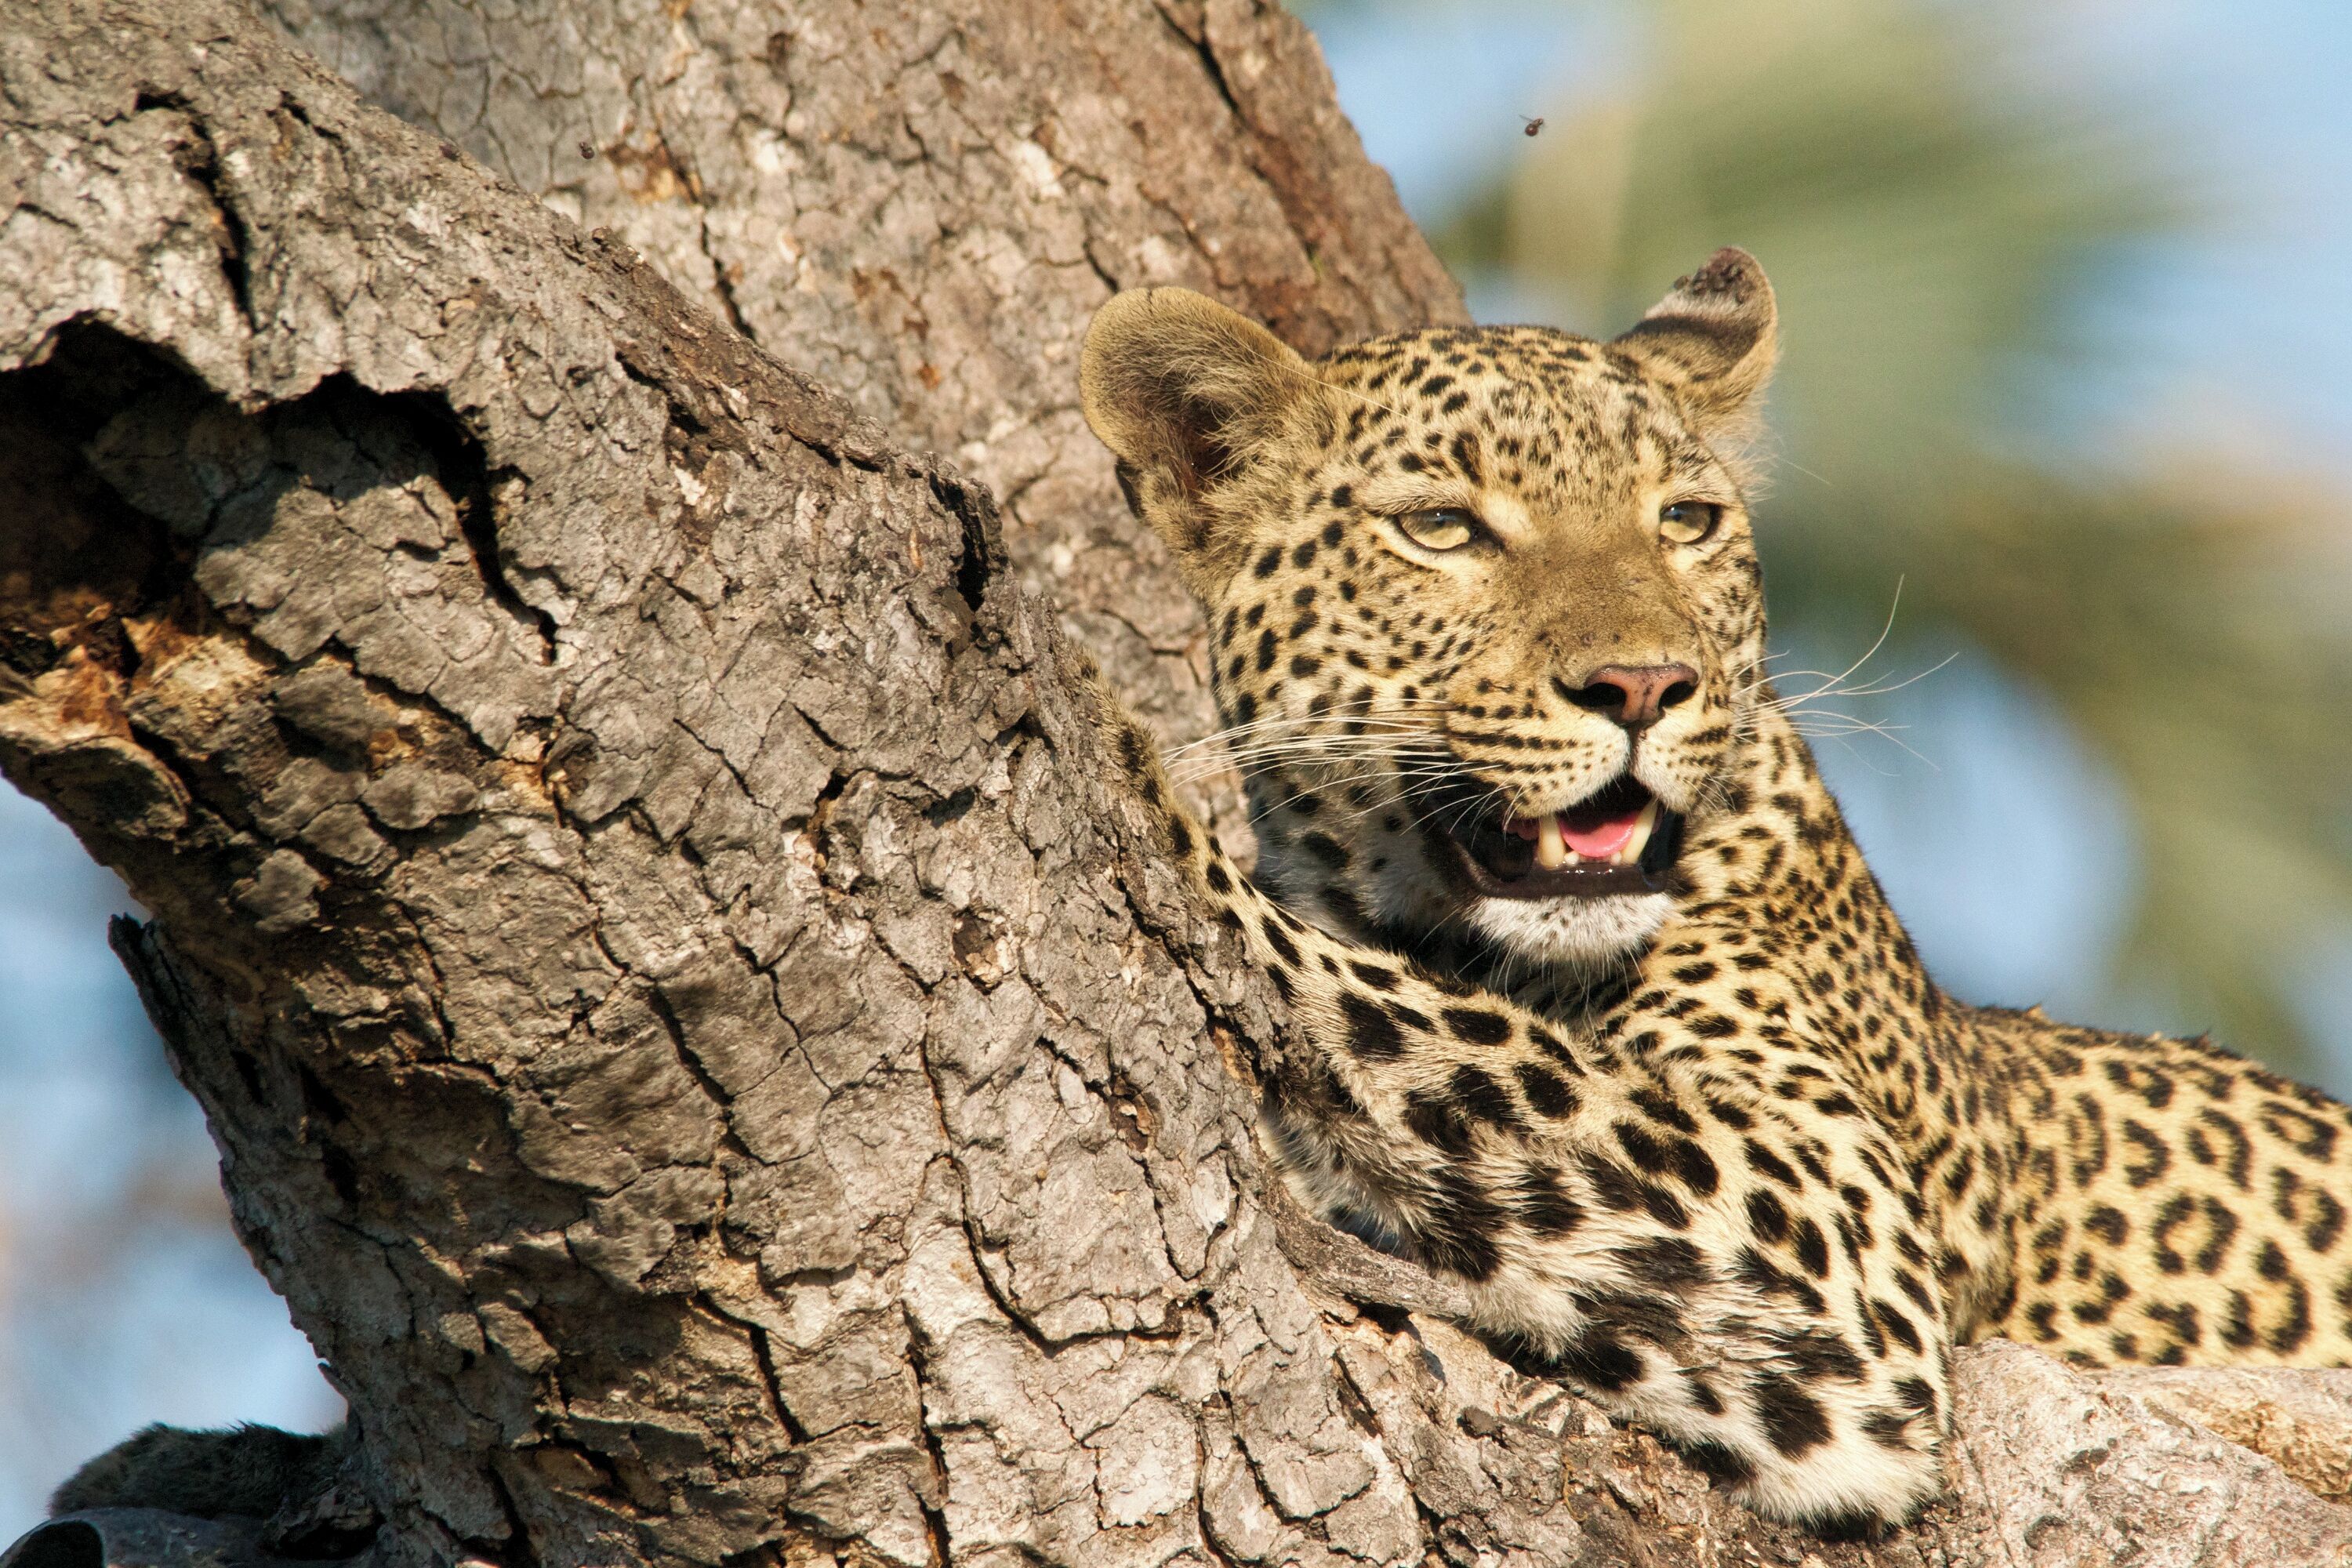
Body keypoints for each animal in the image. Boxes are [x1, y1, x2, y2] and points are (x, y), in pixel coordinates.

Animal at [1068, 247, 2352, 1529]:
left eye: (1684, 521)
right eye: (1441, 527)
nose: (1643, 685)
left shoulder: (1838, 1247)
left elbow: (1413, 1013)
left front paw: (1091, 724)